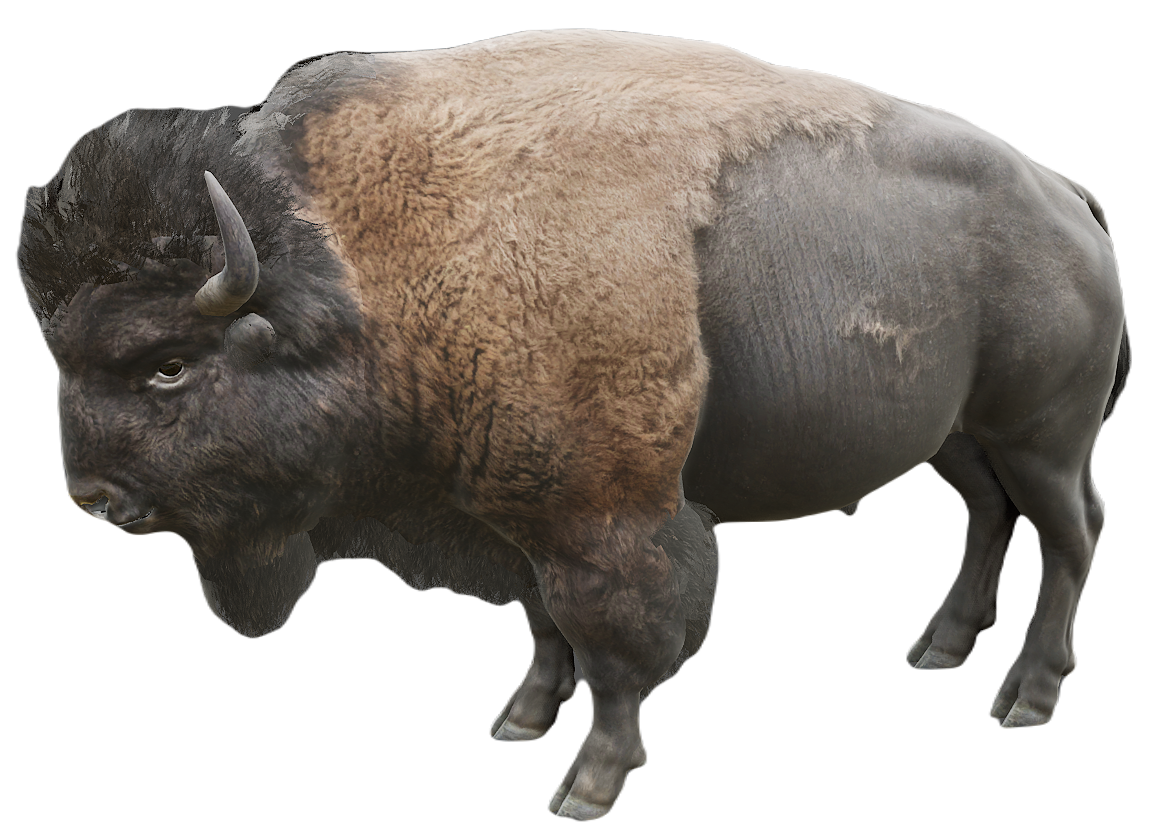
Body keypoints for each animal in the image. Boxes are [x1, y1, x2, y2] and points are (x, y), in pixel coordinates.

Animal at [17, 31, 1127, 820]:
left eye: (167, 365)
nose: (94, 499)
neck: (360, 270)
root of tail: (1065, 194)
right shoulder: (509, 518)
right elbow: (545, 627)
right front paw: (518, 721)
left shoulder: (600, 517)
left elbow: (614, 644)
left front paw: (588, 782)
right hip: (960, 437)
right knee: (988, 517)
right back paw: (938, 646)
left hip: (1042, 435)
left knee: (1073, 532)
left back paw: (1025, 693)